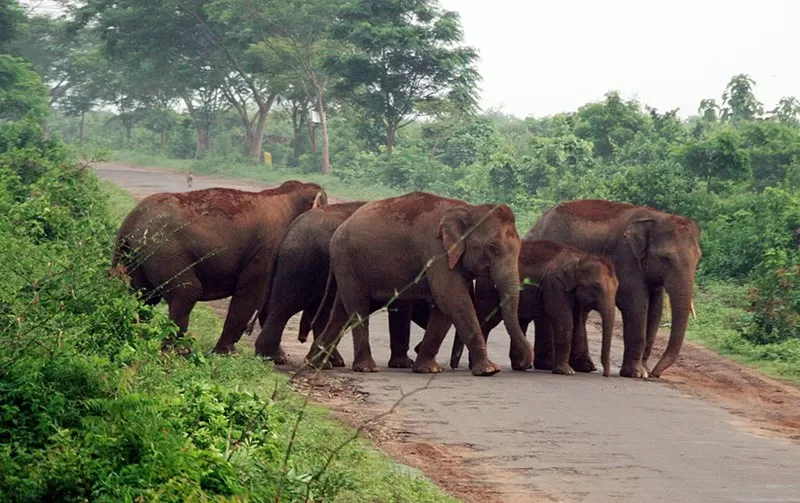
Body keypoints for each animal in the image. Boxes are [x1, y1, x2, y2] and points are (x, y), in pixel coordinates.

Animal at [111, 180, 327, 354]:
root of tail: (128, 222)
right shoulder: (266, 249)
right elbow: (253, 294)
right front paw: (227, 353)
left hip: (138, 256)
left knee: (143, 295)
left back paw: (138, 338)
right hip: (163, 249)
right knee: (186, 292)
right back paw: (178, 351)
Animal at [250, 200, 430, 368]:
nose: (418, 348)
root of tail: (289, 231)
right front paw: (404, 364)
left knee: (315, 309)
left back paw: (329, 361)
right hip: (304, 263)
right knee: (287, 306)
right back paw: (274, 358)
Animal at [305, 191, 534, 376]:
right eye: (493, 247)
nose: (526, 363)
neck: (468, 210)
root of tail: (339, 230)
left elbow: (444, 307)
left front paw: (427, 369)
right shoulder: (436, 251)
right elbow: (453, 299)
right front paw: (489, 370)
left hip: (350, 267)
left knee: (342, 310)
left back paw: (314, 363)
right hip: (347, 260)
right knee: (358, 308)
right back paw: (366, 368)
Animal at [448, 239, 619, 377]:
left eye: (617, 288)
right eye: (596, 287)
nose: (605, 375)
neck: (579, 257)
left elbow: (578, 325)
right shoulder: (554, 286)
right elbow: (564, 321)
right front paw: (566, 372)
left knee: (519, 321)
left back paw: (520, 366)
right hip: (488, 288)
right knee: (487, 320)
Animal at [526, 200, 701, 378]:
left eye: (698, 259)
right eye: (665, 258)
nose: (655, 374)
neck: (657, 216)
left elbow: (655, 309)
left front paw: (643, 371)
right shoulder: (625, 256)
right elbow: (635, 304)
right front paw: (636, 373)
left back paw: (582, 366)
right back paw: (549, 365)